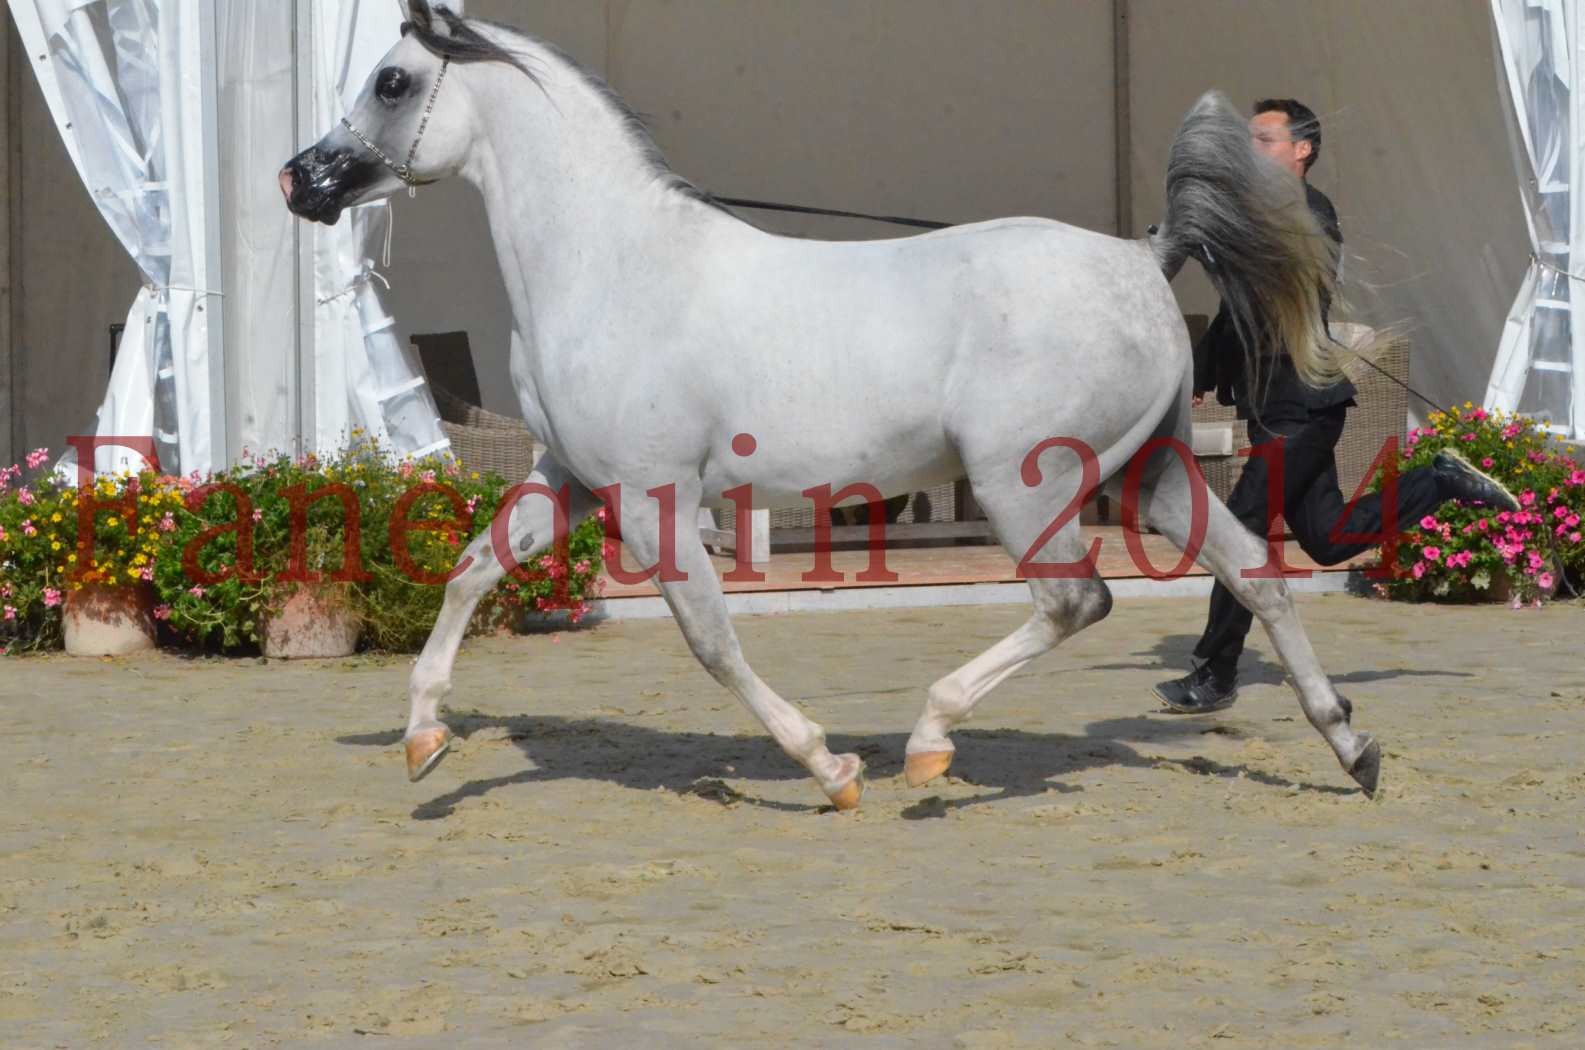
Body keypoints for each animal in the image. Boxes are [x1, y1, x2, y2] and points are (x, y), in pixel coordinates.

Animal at [278, 0, 1382, 808]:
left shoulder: (651, 498)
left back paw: (930, 745)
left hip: (1026, 484)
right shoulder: (574, 483)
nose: (300, 180)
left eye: (390, 80)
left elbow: (711, 639)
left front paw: (830, 768)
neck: (612, 268)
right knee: (1257, 576)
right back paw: (1351, 749)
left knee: (1078, 600)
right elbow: (469, 572)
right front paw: (422, 741)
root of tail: (1140, 256)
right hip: (1154, 472)